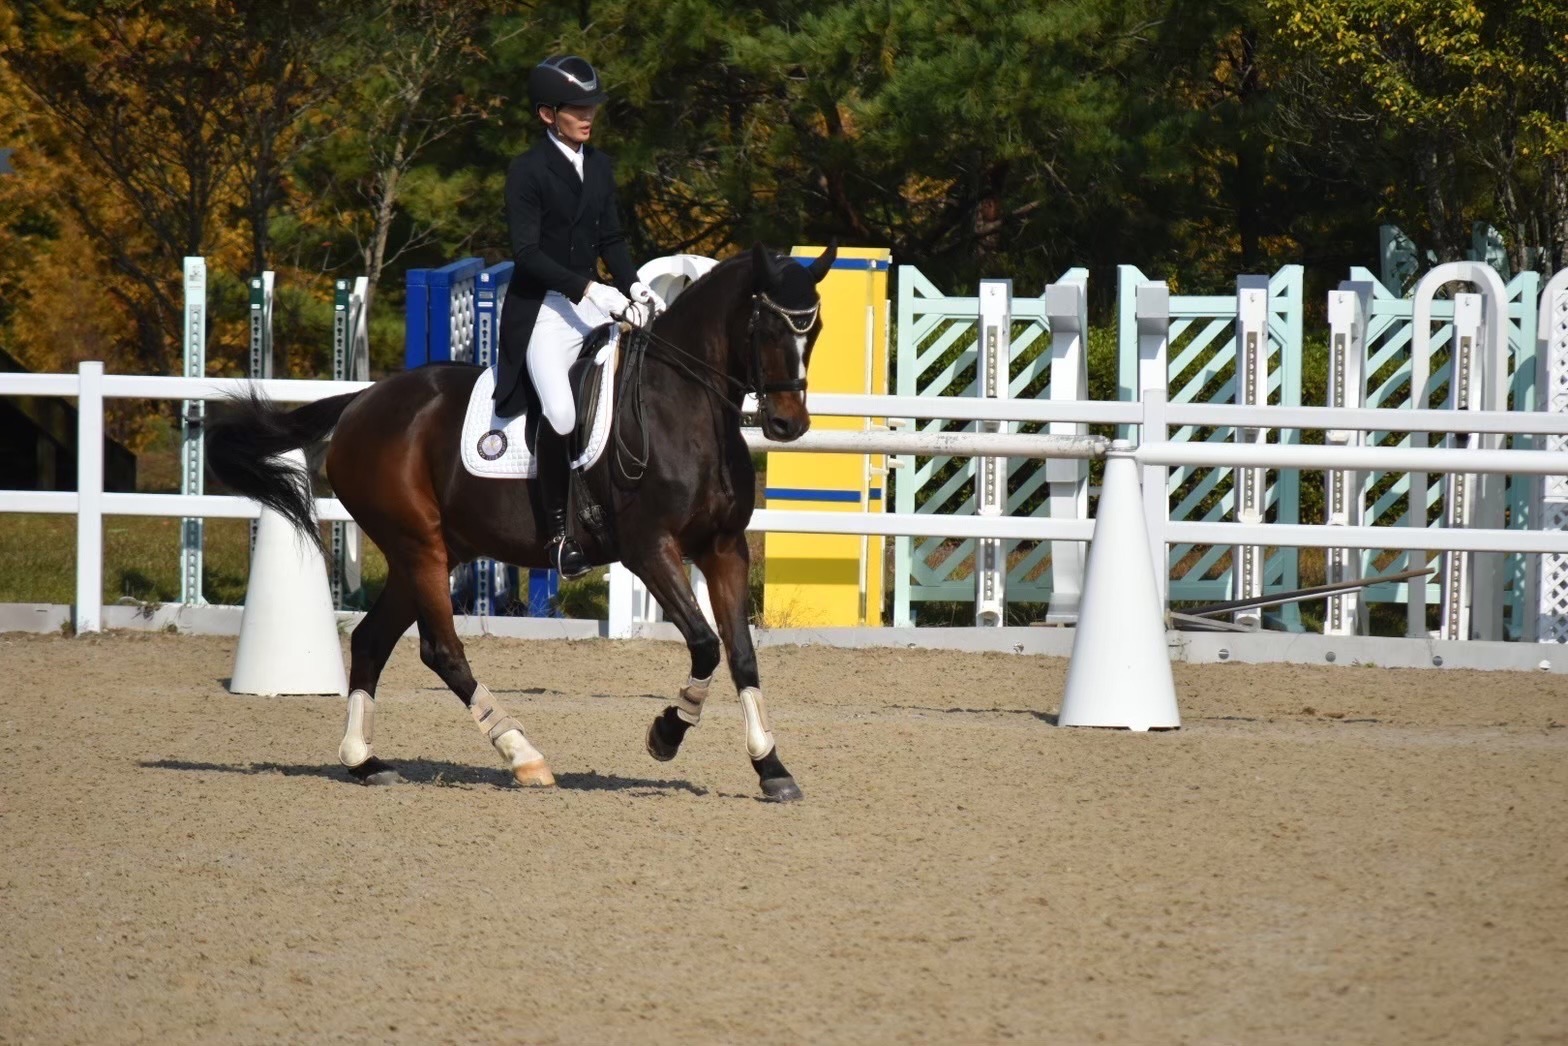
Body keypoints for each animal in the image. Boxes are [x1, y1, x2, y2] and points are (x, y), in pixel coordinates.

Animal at [214, 246, 840, 802]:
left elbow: (742, 655)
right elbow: (707, 644)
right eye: (766, 328)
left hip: (431, 551)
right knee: (443, 651)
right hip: (419, 548)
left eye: (814, 330)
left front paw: (772, 769)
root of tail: (361, 402)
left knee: (372, 641)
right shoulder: (649, 550)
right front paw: (665, 734)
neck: (684, 409)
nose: (788, 425)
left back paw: (366, 762)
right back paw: (523, 755)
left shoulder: (725, 548)